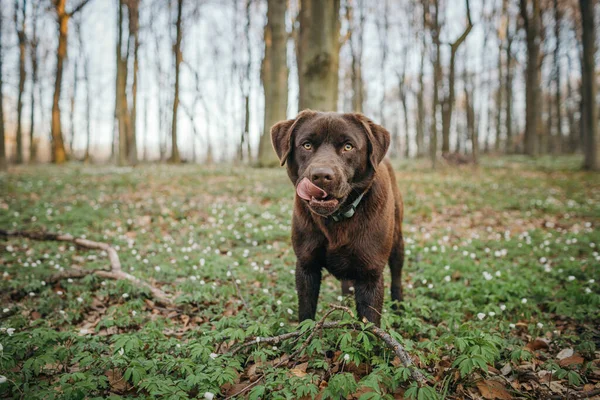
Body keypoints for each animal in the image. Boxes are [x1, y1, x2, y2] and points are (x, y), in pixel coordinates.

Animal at [274, 108, 406, 324]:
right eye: (307, 145)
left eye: (348, 146)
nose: (321, 176)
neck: (336, 219)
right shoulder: (306, 266)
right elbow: (306, 314)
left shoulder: (370, 274)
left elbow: (369, 325)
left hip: (397, 241)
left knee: (397, 276)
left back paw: (399, 307)